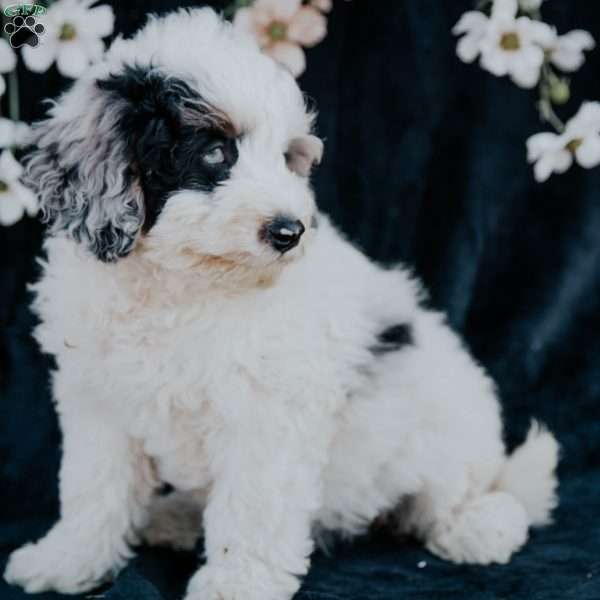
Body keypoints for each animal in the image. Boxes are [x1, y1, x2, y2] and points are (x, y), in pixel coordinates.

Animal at [3, 8, 556, 600]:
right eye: (215, 153)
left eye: (287, 158)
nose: (290, 231)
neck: (183, 284)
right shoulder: (98, 401)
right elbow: (93, 488)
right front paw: (67, 561)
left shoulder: (266, 413)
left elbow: (252, 508)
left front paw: (235, 584)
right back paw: (174, 518)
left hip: (445, 436)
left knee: (468, 498)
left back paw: (478, 527)